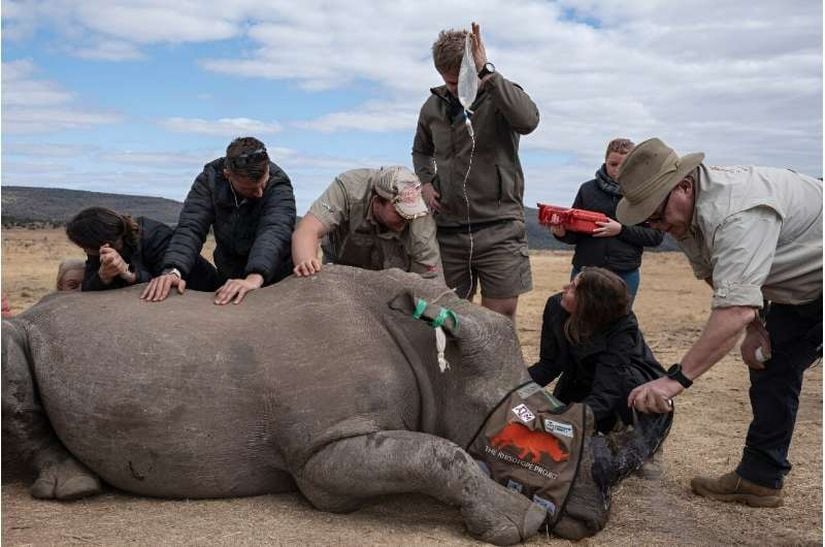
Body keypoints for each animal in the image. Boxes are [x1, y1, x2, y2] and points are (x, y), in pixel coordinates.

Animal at [1, 266, 668, 544]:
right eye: (540, 434)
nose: (591, 520)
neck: (439, 365)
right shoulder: (321, 457)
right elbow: (439, 455)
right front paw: (519, 523)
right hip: (24, 330)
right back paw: (73, 486)